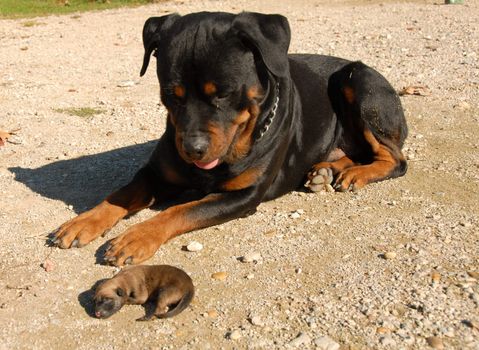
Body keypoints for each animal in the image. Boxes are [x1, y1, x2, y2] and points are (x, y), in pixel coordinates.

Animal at [51, 12, 408, 266]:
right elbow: (123, 192)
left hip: (358, 82)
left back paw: (355, 174)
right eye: (171, 94)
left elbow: (181, 210)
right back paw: (327, 170)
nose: (193, 149)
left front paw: (135, 237)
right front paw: (84, 221)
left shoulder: (243, 195)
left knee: (396, 159)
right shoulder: (156, 172)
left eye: (223, 93)